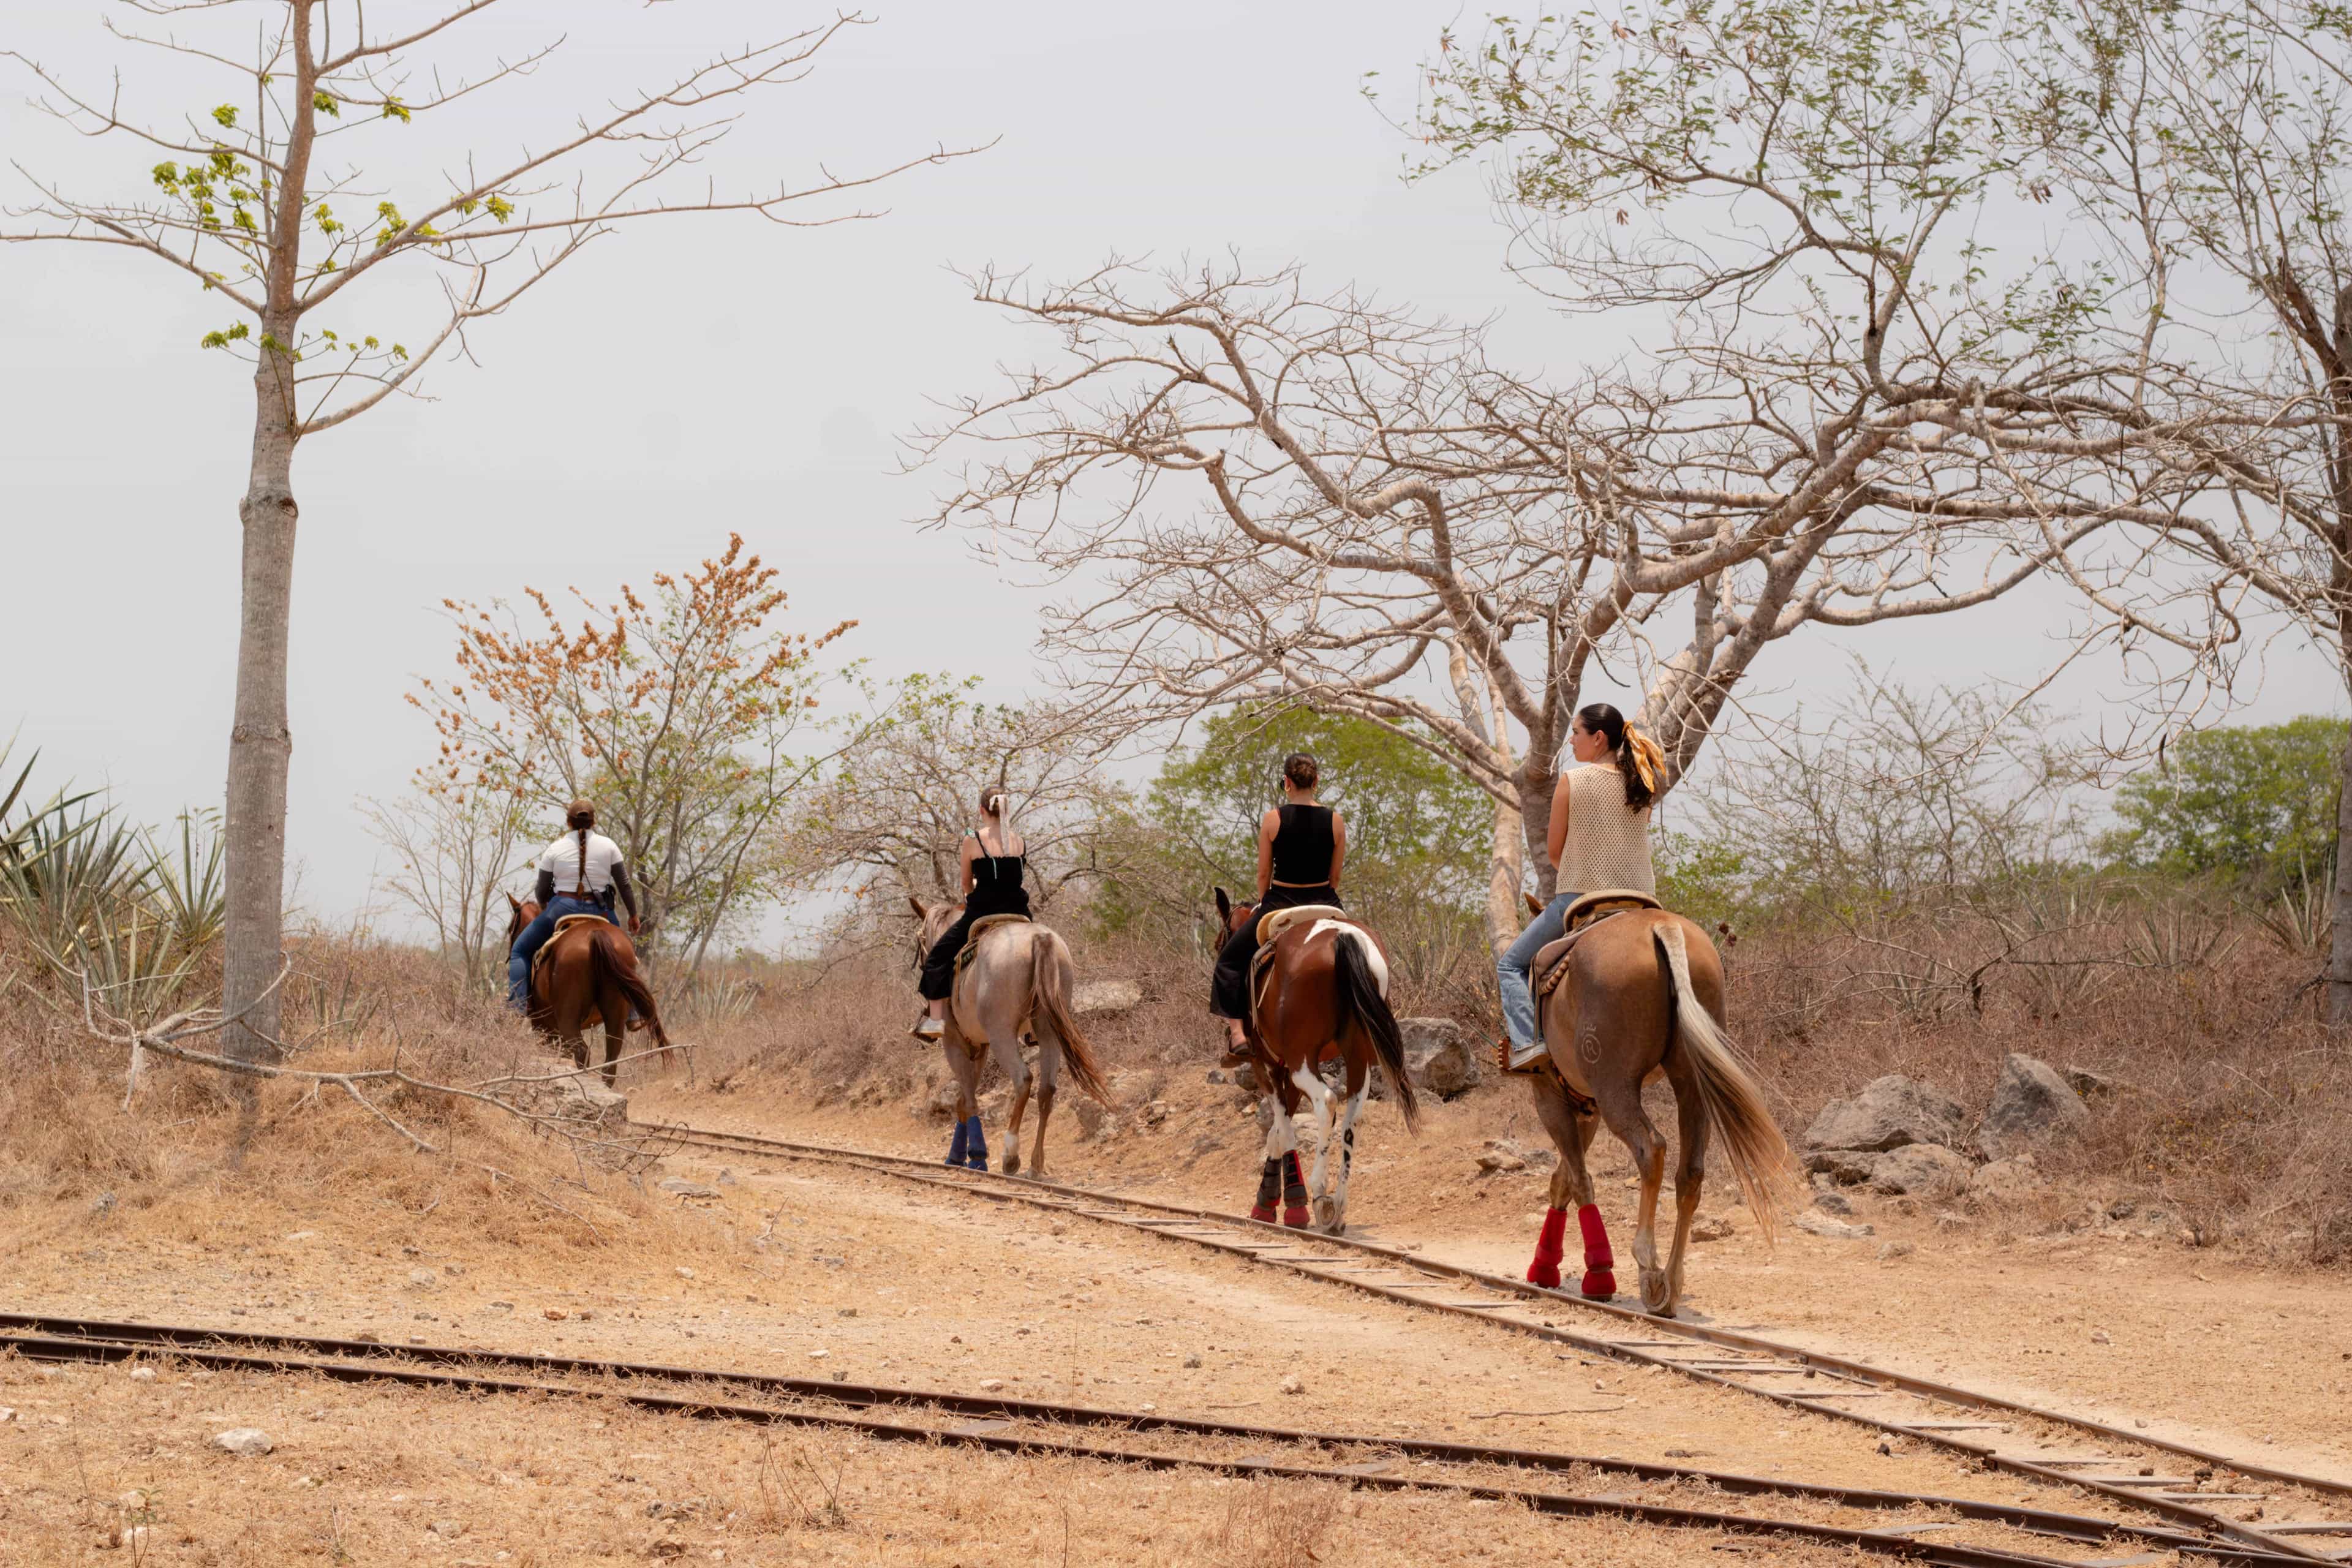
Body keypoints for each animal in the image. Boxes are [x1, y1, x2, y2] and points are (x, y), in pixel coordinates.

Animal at [504, 895, 672, 1088]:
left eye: (510, 928)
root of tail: (595, 934)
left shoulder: (544, 1026)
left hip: (567, 1020)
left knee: (582, 1052)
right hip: (615, 1015)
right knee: (610, 1060)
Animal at [909, 897, 1110, 1176]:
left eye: (920, 945)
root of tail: (1040, 939)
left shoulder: (956, 1043)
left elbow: (969, 1100)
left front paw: (973, 1157)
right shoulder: (979, 1046)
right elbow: (964, 1099)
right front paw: (960, 1156)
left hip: (1001, 1035)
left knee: (1023, 1079)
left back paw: (1010, 1154)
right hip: (1046, 1030)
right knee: (1047, 1089)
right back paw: (1036, 1164)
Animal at [1212, 889, 1420, 1233]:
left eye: (1220, 944)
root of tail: (1343, 937)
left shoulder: (1268, 1066)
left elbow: (1282, 1127)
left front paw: (1283, 1205)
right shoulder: (1287, 1070)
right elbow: (1278, 1129)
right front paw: (1272, 1201)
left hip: (1303, 1062)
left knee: (1327, 1102)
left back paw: (1321, 1193)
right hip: (1356, 1058)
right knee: (1352, 1119)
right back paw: (1339, 1209)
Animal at [1515, 892, 1794, 1317]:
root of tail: (1664, 928)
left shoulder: (1551, 1095)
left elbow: (1578, 1180)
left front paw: (1590, 1273)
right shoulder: (1587, 1108)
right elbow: (1564, 1179)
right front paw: (1548, 1265)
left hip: (1616, 1087)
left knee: (1651, 1147)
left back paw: (1648, 1265)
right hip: (1690, 1082)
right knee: (1690, 1171)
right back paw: (1671, 1284)